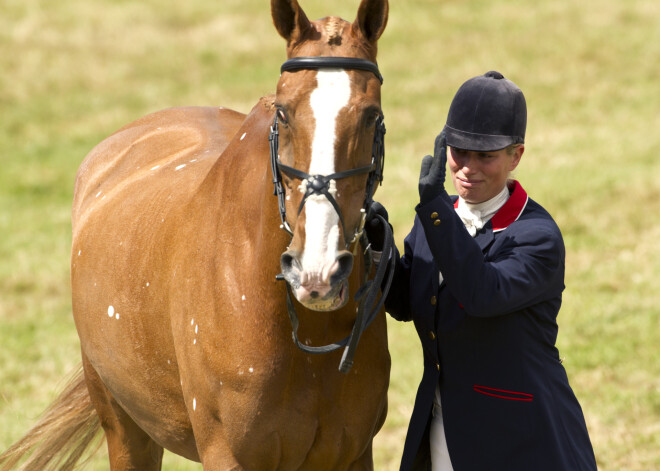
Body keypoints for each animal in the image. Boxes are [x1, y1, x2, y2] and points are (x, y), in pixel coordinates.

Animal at [1, 0, 392, 471]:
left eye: (371, 115)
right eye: (283, 112)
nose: (317, 273)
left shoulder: (353, 454)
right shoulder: (227, 454)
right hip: (124, 426)